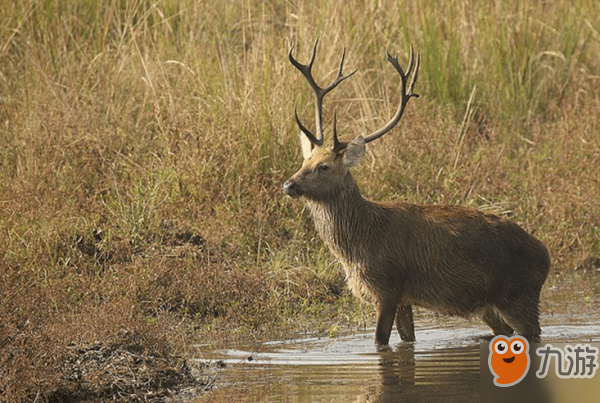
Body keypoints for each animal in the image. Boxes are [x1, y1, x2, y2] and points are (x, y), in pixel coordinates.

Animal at [284, 39, 552, 346]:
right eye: (305, 161)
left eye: (324, 166)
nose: (289, 185)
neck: (357, 244)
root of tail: (546, 255)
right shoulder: (403, 298)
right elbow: (407, 339)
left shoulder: (387, 287)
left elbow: (380, 341)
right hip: (490, 305)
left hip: (519, 295)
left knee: (532, 332)